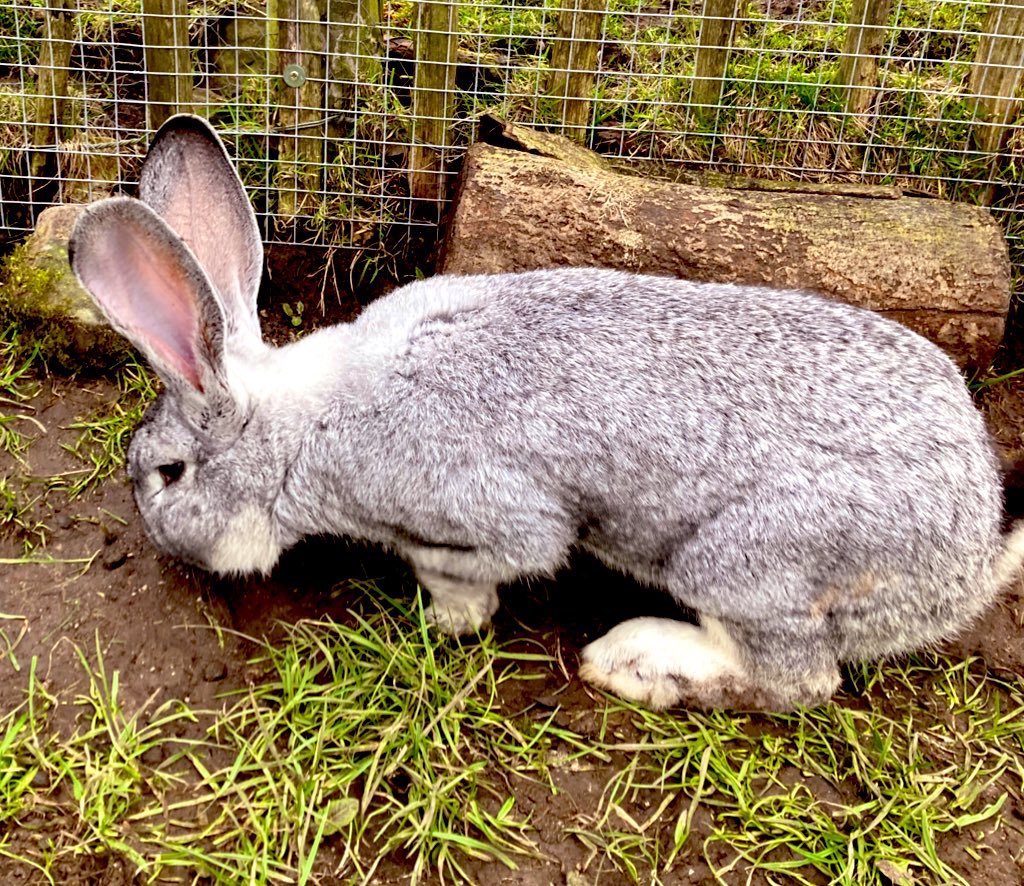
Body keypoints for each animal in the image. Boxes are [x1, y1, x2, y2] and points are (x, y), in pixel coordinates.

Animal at [68, 114, 1024, 712]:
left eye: (167, 474)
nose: (159, 542)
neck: (302, 429)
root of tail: (973, 555)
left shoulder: (478, 519)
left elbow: (486, 565)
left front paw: (447, 623)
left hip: (746, 562)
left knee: (796, 680)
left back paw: (634, 663)